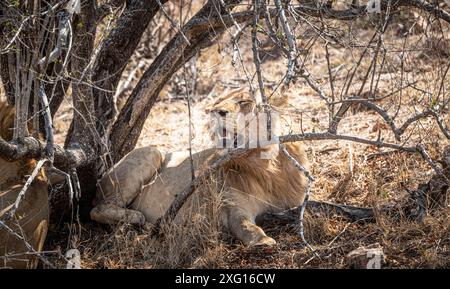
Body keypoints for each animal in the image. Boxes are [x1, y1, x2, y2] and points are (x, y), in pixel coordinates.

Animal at [91, 88, 310, 245]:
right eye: (217, 102)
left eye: (244, 102)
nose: (215, 112)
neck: (264, 166)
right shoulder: (233, 207)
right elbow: (245, 225)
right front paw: (263, 241)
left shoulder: (295, 201)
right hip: (152, 152)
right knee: (96, 209)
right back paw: (139, 219)